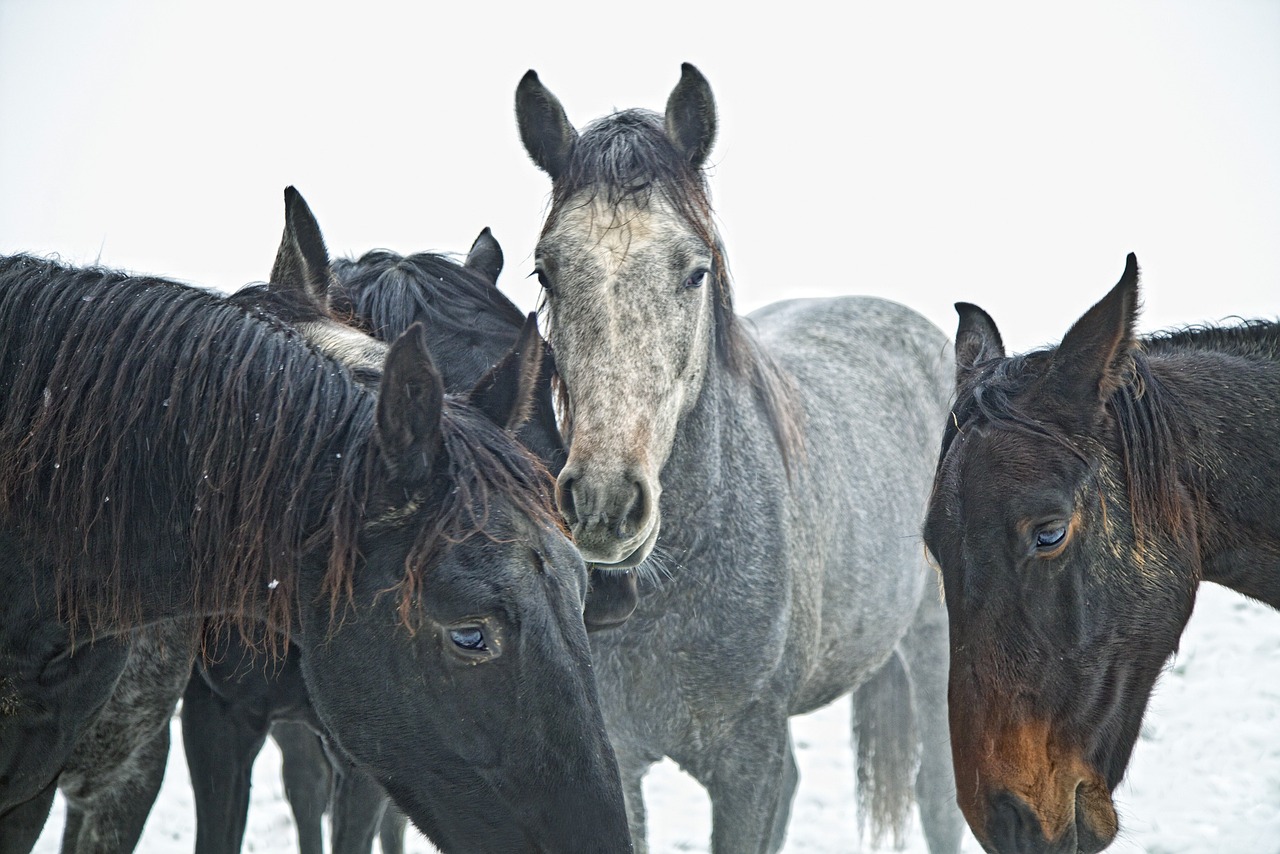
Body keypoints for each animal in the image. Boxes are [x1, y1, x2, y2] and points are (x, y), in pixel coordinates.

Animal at [514, 63, 962, 850]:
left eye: (694, 272)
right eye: (545, 271)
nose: (603, 505)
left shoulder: (747, 763)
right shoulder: (621, 760)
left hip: (933, 642)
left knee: (938, 801)